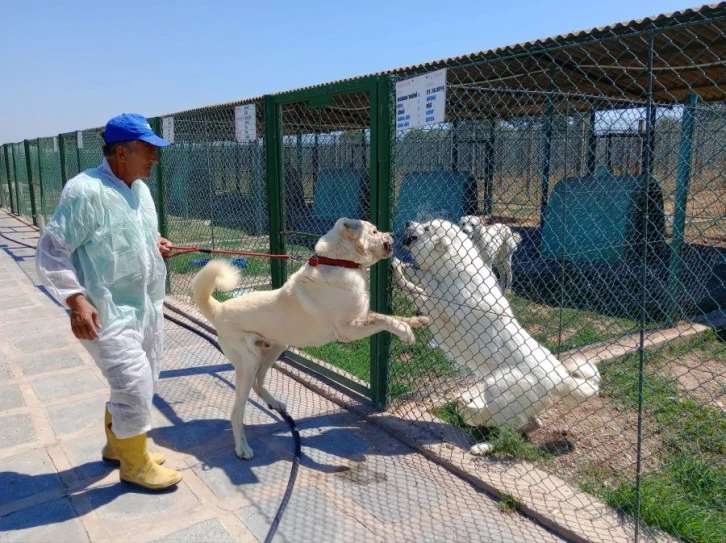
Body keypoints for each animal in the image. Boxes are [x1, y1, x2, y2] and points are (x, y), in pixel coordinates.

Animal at [193, 217, 432, 460]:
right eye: (374, 231)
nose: (392, 233)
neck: (340, 262)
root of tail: (219, 308)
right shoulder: (347, 330)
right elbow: (384, 321)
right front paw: (405, 331)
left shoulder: (360, 317)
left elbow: (386, 316)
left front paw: (416, 321)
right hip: (249, 362)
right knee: (236, 412)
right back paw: (242, 448)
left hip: (273, 349)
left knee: (259, 384)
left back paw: (275, 404)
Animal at [396, 220, 600, 454]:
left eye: (428, 228)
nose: (408, 222)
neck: (453, 269)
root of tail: (561, 377)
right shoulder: (434, 308)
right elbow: (414, 289)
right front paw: (398, 269)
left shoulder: (446, 304)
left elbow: (427, 282)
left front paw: (409, 269)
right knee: (531, 424)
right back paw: (476, 416)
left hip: (497, 387)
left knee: (507, 435)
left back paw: (482, 444)